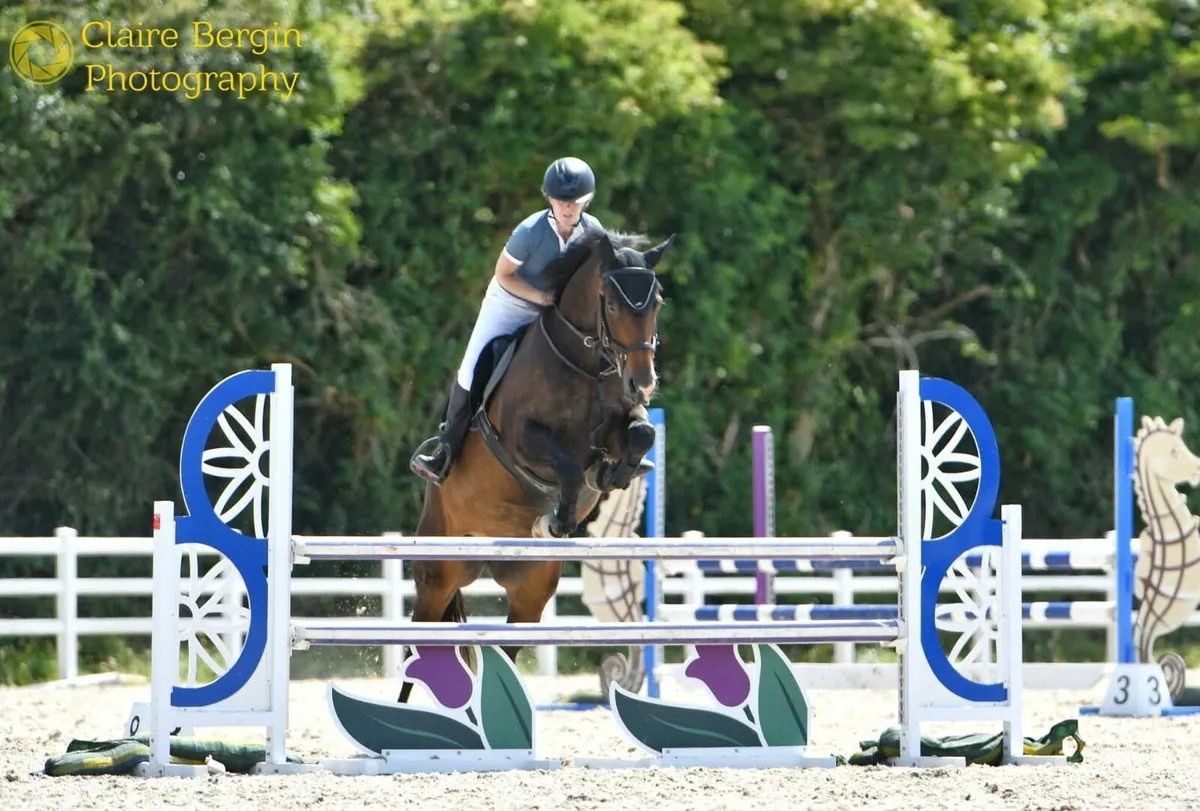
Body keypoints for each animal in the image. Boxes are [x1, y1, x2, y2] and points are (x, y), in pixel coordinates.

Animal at [397, 227, 674, 702]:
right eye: (612, 304)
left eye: (655, 302)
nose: (642, 382)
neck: (584, 364)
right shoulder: (520, 439)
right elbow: (567, 465)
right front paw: (560, 518)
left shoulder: (624, 420)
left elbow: (641, 434)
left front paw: (615, 473)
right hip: (437, 572)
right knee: (417, 642)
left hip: (530, 592)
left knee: (505, 652)